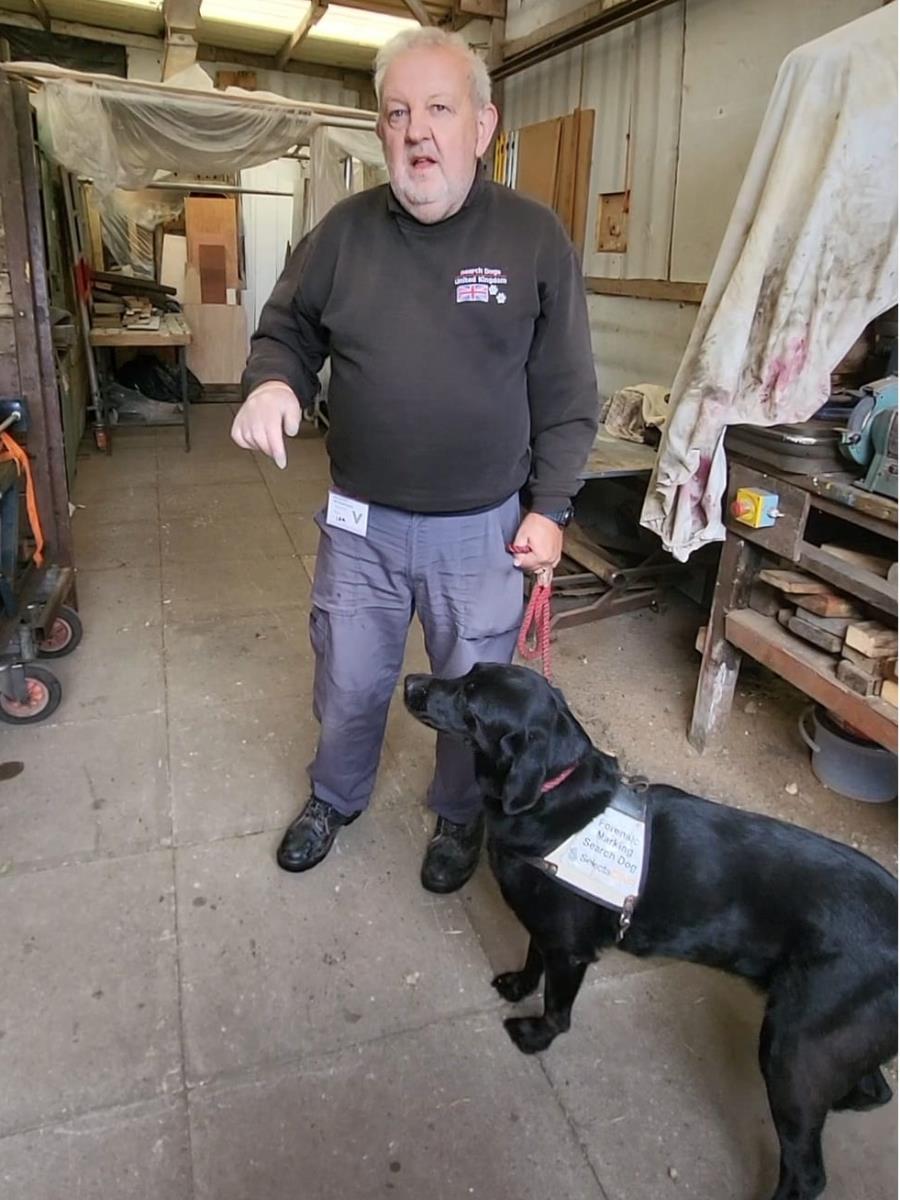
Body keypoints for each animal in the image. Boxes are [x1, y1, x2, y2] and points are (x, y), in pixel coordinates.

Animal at [405, 662, 897, 1200]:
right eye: (468, 673)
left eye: (471, 704)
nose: (410, 683)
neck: (553, 792)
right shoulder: (549, 926)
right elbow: (534, 955)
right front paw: (518, 984)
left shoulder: (570, 950)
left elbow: (557, 1009)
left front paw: (536, 1036)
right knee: (874, 1090)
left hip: (793, 1046)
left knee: (808, 1169)